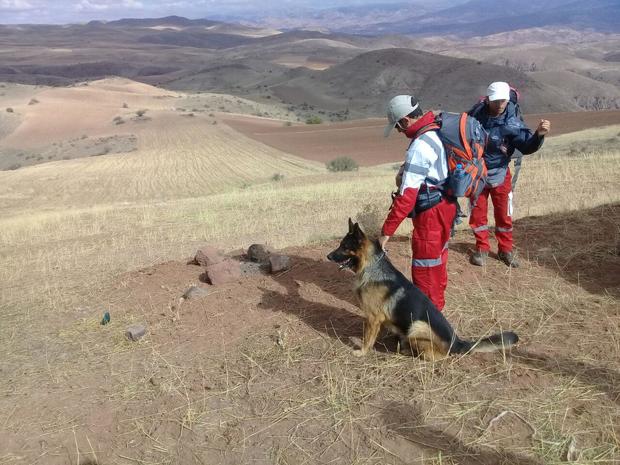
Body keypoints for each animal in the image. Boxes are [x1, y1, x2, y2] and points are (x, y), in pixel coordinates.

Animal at [324, 218, 520, 358]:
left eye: (344, 247)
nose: (328, 256)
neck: (371, 266)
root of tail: (457, 342)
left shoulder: (373, 318)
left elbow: (367, 339)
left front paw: (362, 352)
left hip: (417, 326)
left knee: (435, 356)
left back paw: (409, 352)